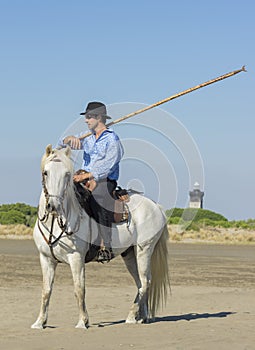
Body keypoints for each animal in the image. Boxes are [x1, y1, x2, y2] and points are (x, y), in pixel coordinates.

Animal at [31, 144, 170, 330]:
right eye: (46, 172)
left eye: (67, 174)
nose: (53, 206)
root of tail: (156, 206)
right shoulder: (46, 258)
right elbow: (46, 291)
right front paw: (40, 322)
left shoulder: (76, 258)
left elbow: (79, 289)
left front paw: (83, 322)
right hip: (130, 253)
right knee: (141, 282)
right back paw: (142, 317)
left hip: (144, 249)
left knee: (145, 281)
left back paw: (131, 316)